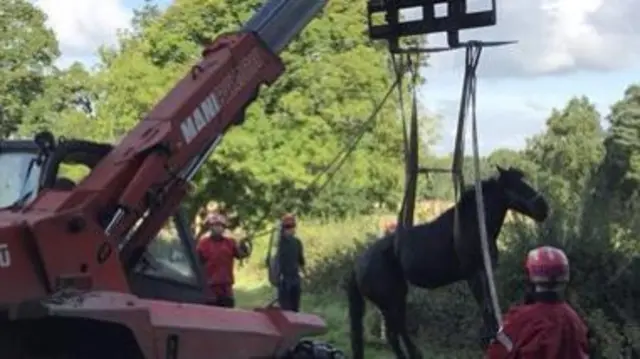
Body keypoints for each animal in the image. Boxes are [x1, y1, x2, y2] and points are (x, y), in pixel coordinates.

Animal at [344, 167, 552, 358]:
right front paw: (490, 339)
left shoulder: (484, 273)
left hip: (397, 297)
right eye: (515, 186)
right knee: (394, 334)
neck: (473, 227)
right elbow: (485, 307)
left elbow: (488, 306)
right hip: (389, 301)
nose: (543, 208)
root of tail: (358, 264)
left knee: (397, 331)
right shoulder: (474, 275)